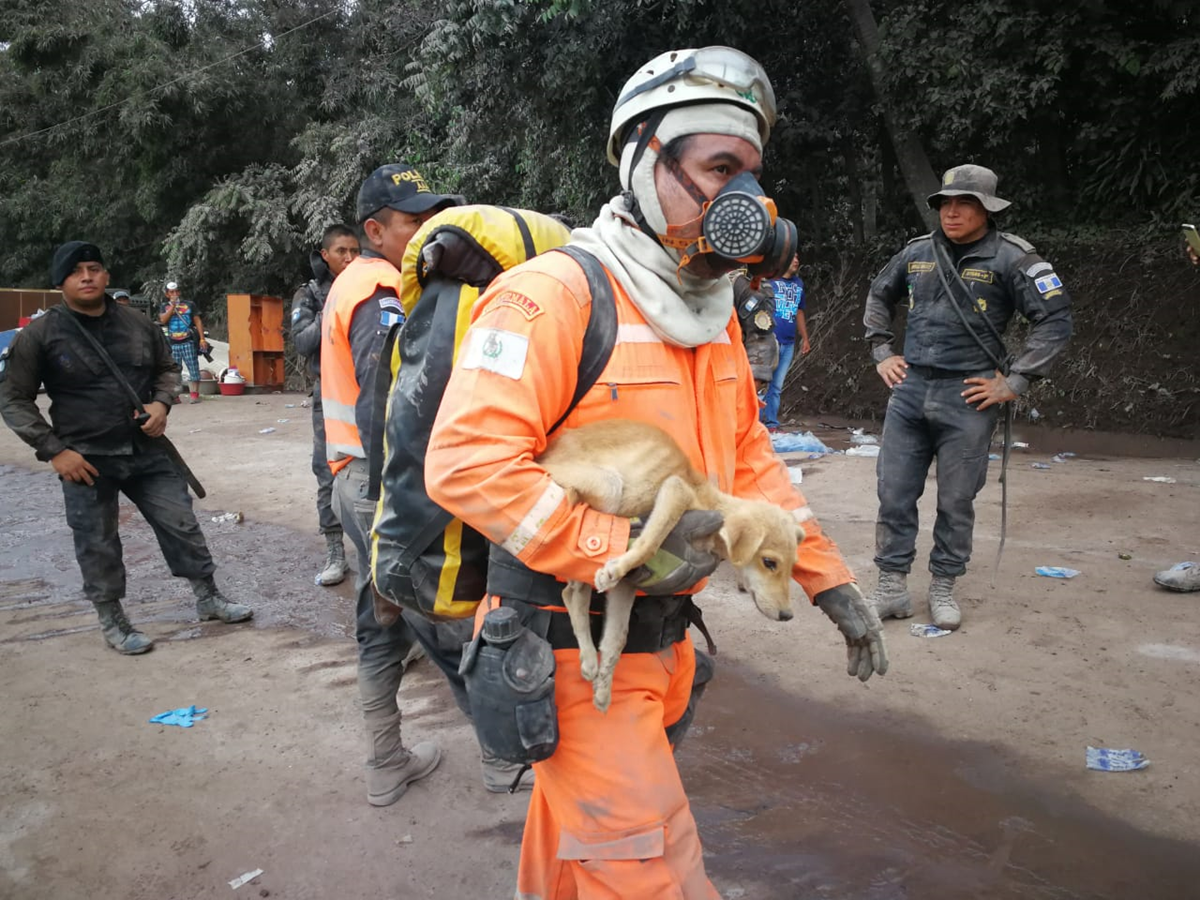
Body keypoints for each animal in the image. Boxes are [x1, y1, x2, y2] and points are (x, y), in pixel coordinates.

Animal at [537, 422, 801, 710]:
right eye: (769, 562)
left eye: (792, 566)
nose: (787, 615)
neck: (709, 501)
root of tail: (545, 455)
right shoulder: (675, 490)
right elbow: (650, 542)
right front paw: (615, 568)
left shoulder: (628, 585)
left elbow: (617, 638)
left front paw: (604, 690)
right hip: (608, 487)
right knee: (574, 581)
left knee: (570, 591)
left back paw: (587, 660)